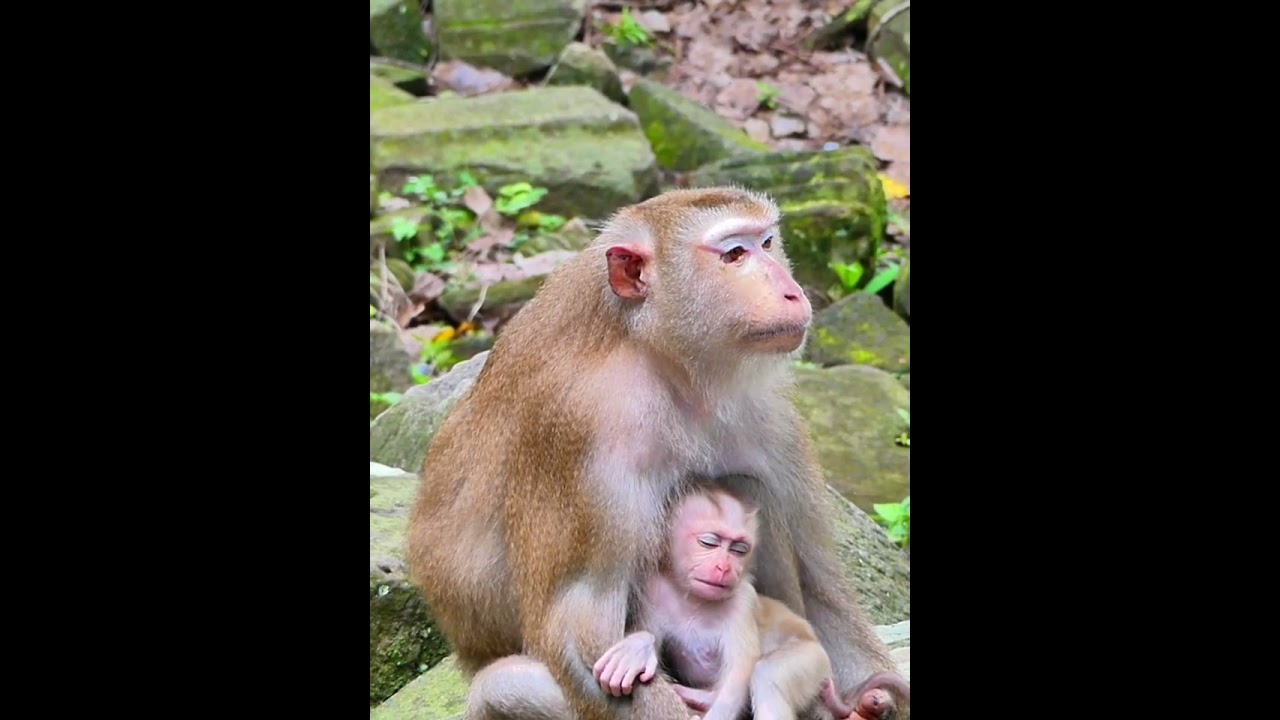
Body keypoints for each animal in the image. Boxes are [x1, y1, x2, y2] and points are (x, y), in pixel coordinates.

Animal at [592, 484, 900, 720]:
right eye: (709, 542)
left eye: (739, 549)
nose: (724, 568)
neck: (694, 599)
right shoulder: (654, 591)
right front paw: (637, 649)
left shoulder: (741, 603)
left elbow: (739, 674)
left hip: (813, 659)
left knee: (767, 675)